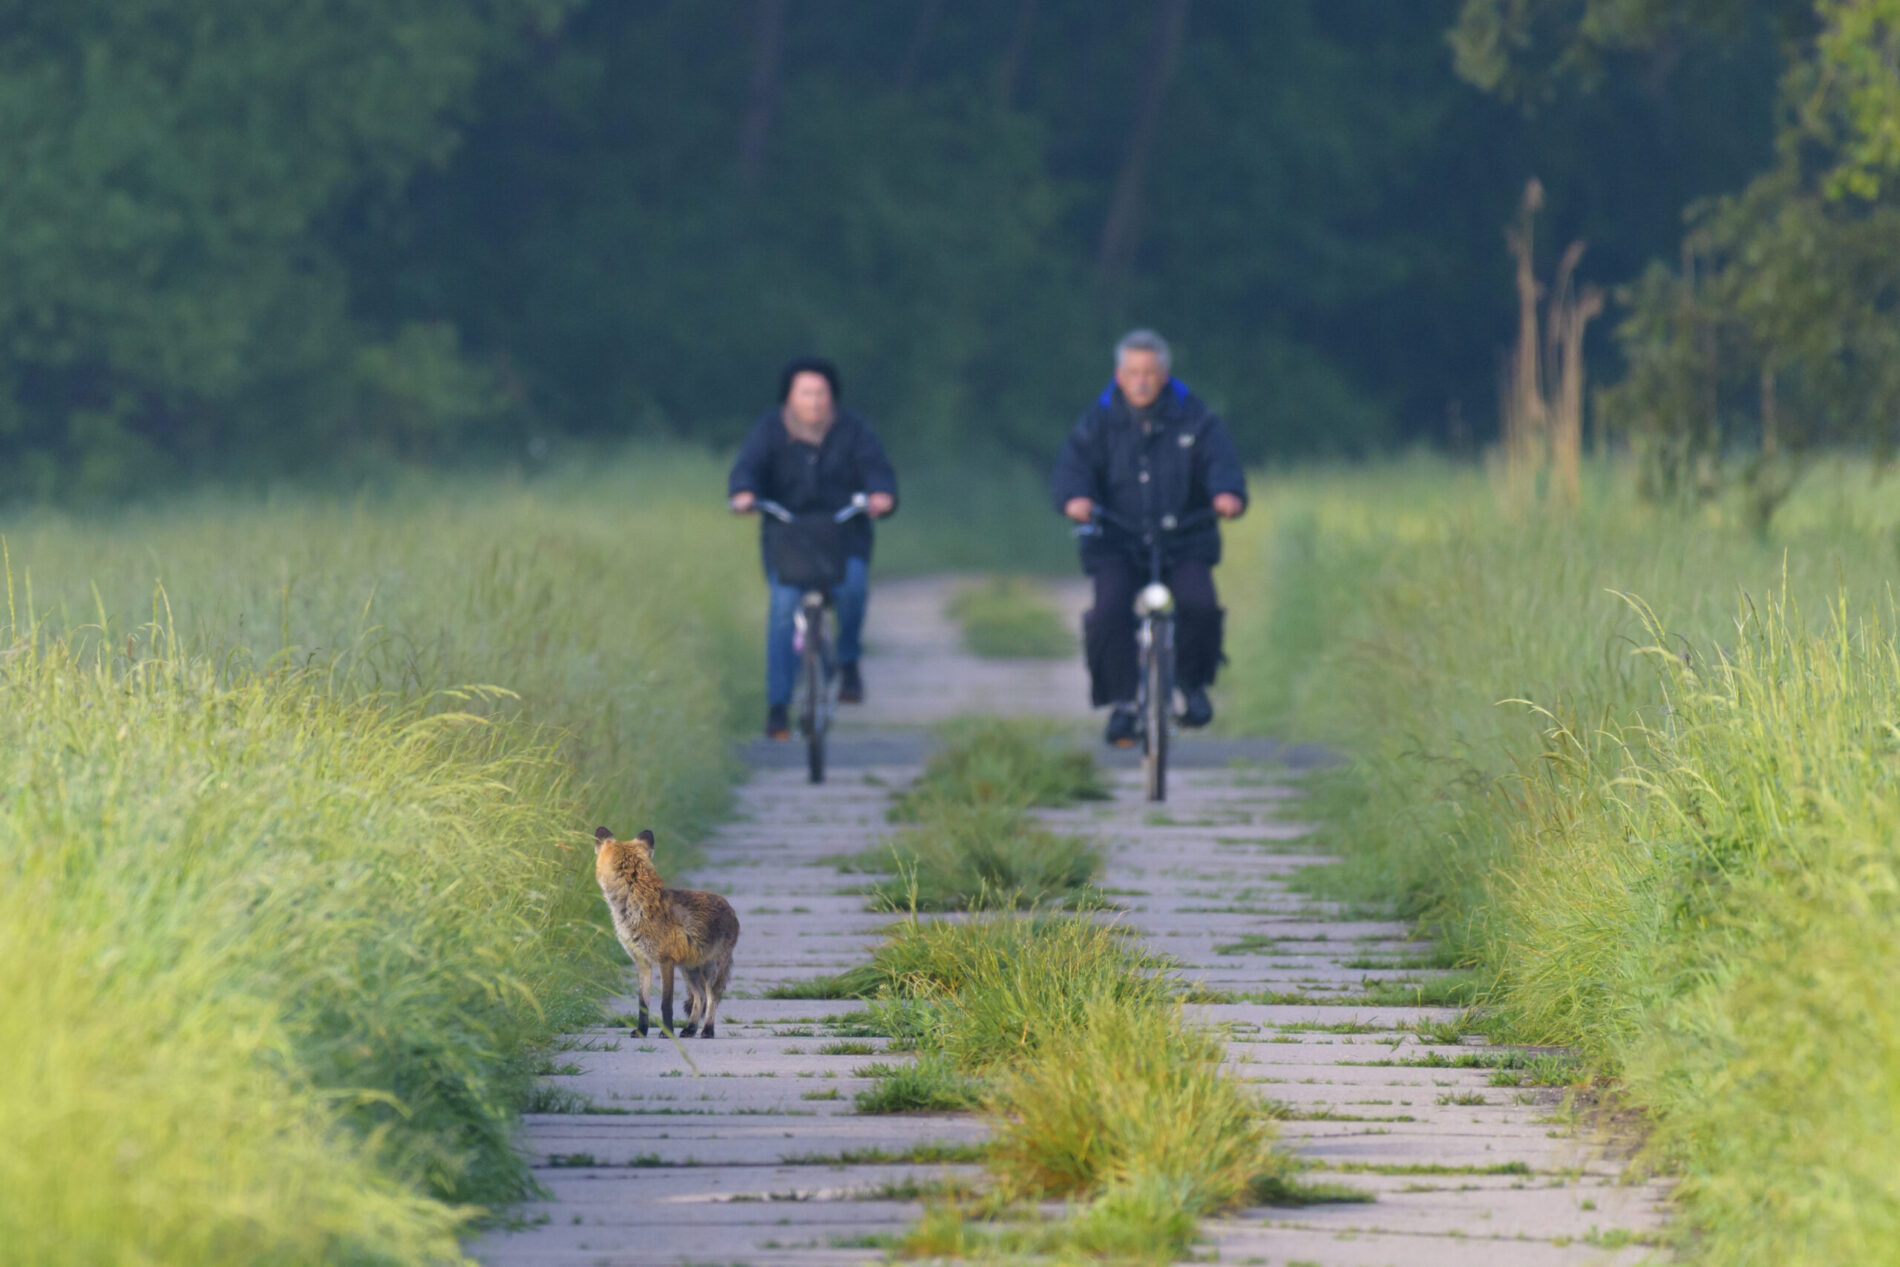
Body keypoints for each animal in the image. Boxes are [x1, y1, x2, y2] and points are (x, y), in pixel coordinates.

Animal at [593, 827, 740, 1039]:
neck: (635, 910)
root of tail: (728, 905)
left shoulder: (666, 961)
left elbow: (666, 1004)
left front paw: (667, 1032)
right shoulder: (642, 961)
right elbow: (643, 1004)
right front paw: (642, 1031)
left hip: (711, 969)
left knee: (712, 998)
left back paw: (707, 1030)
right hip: (689, 969)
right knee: (699, 997)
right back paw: (690, 1028)